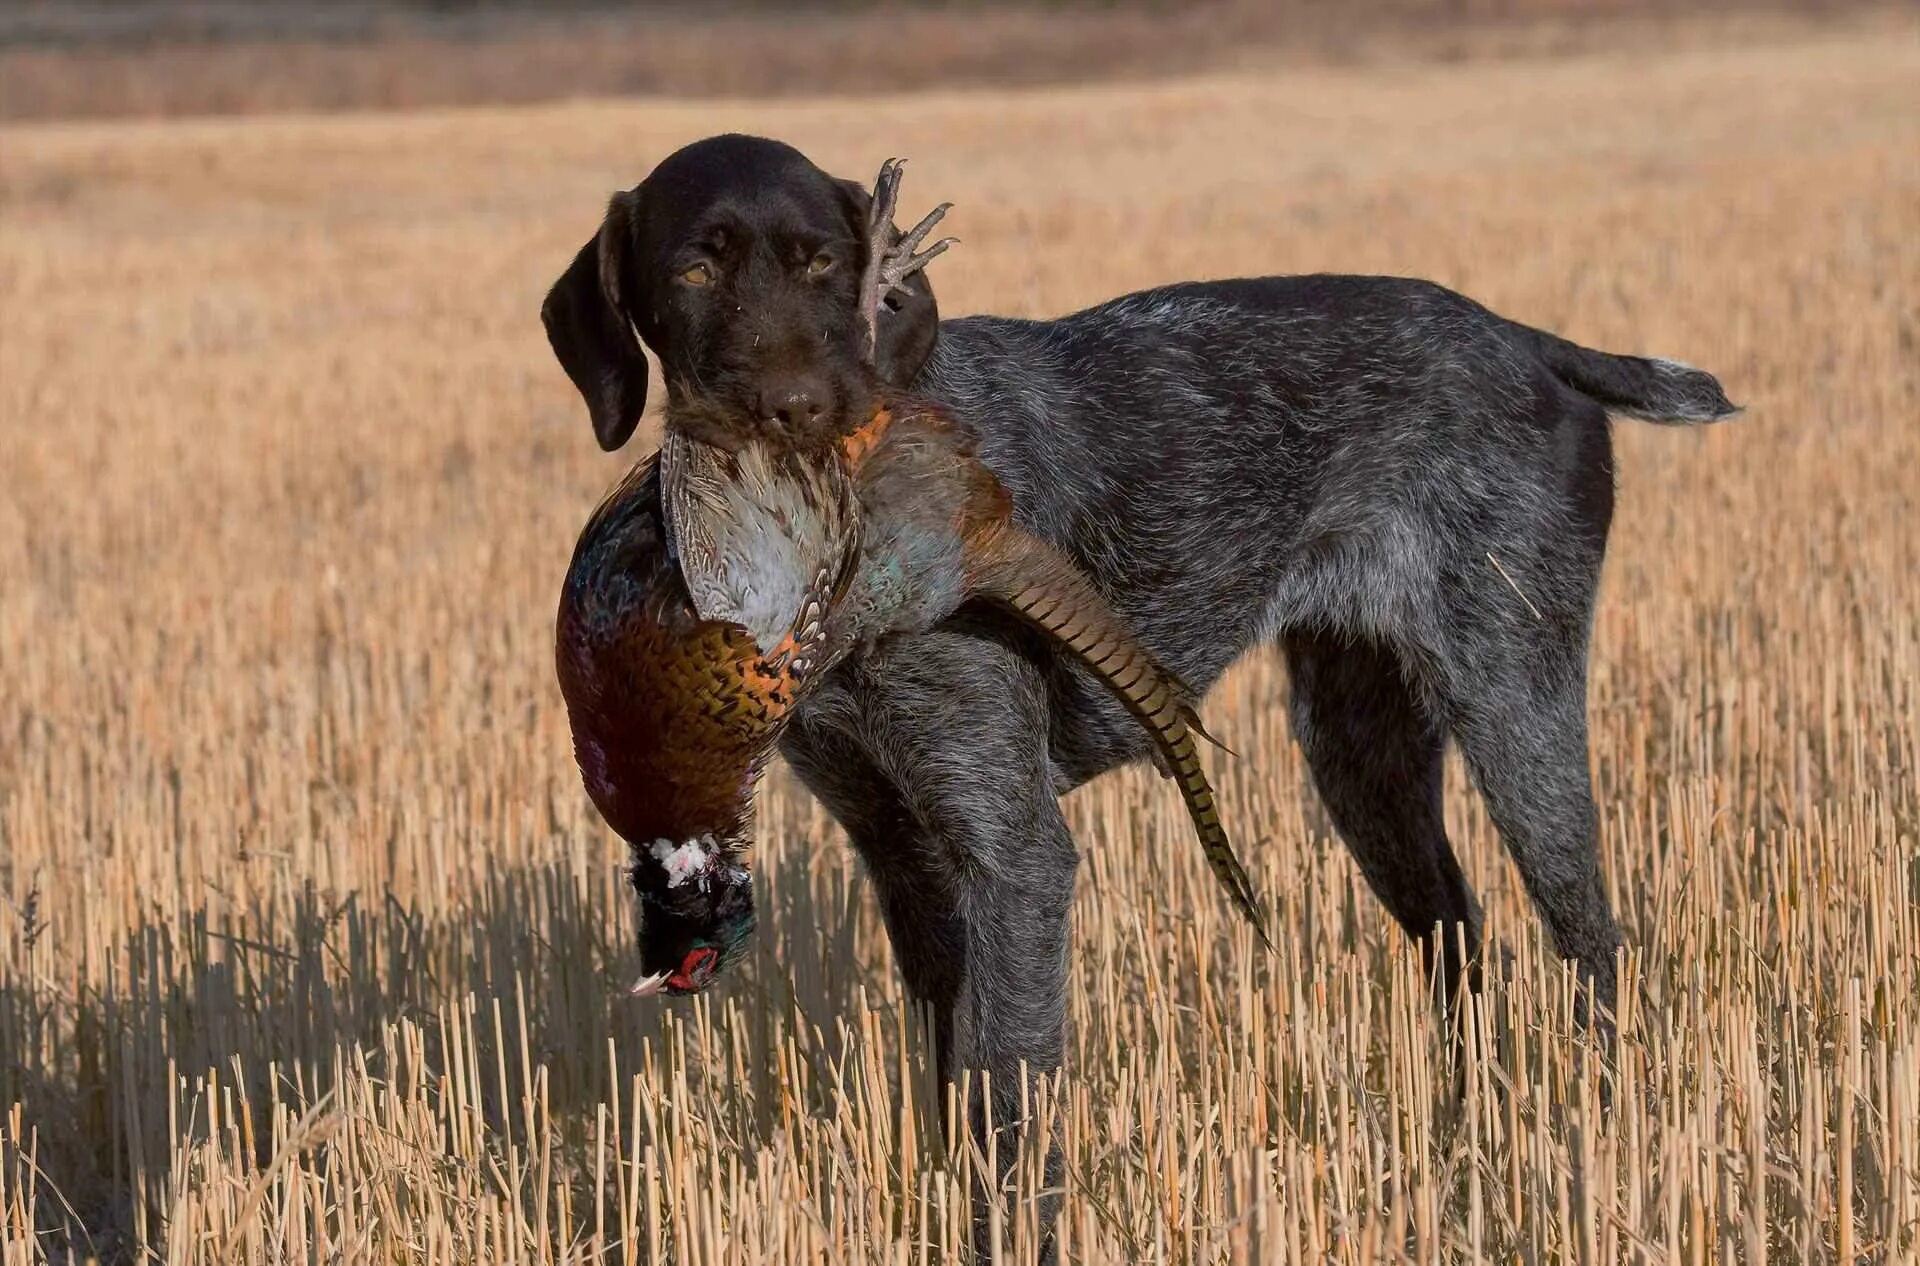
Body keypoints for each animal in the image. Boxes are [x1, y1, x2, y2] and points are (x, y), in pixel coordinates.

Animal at [537, 128, 1743, 1229]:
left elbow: (1008, 1095)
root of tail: (1528, 339)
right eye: (696, 269)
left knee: (1592, 945)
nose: (795, 409)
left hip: (1515, 710)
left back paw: (1596, 1133)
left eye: (822, 260)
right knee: (1459, 941)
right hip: (1363, 756)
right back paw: (1468, 1132)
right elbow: (954, 1082)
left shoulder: (1014, 853)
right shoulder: (902, 852)